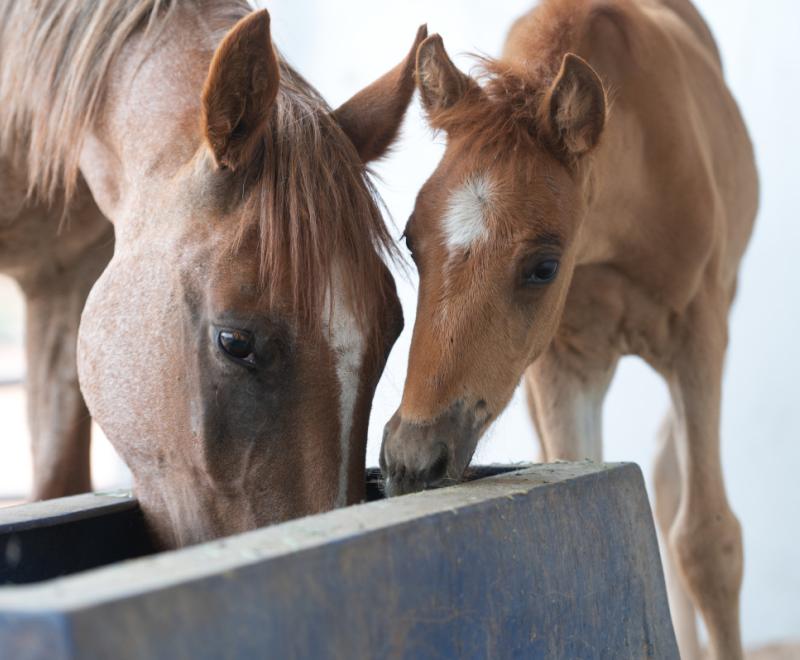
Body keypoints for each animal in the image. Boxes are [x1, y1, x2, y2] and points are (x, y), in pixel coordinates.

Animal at [384, 2, 760, 656]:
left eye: (543, 266)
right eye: (410, 239)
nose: (412, 461)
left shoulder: (700, 335)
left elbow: (709, 543)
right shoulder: (562, 363)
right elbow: (576, 482)